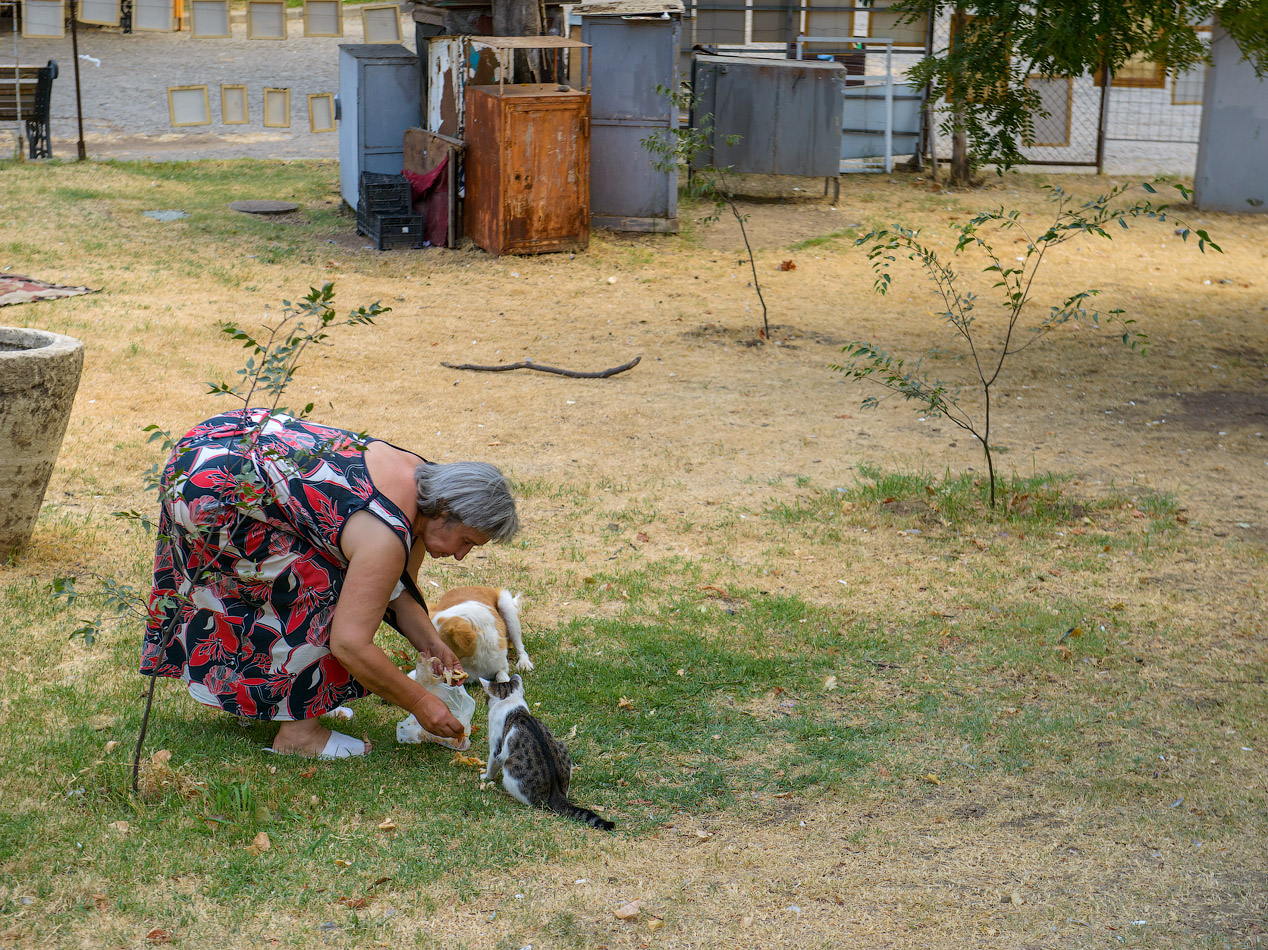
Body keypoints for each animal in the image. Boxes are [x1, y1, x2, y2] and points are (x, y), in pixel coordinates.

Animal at [479, 675, 614, 831]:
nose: (485, 703)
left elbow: (492, 763)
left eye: (486, 698)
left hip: (510, 768)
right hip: (562, 747)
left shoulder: (497, 746)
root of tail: (556, 793)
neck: (511, 702)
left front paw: (486, 777)